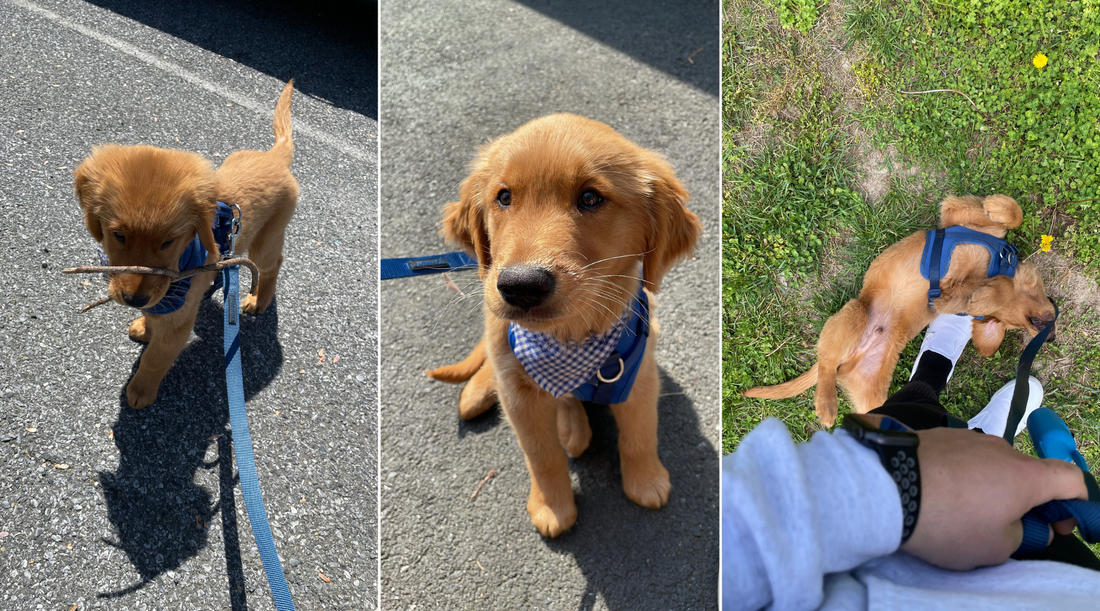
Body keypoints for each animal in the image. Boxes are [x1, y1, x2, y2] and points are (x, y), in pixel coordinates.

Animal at [74, 78, 299, 409]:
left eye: (169, 241)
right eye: (119, 235)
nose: (133, 300)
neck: (182, 262)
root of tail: (274, 157)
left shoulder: (179, 321)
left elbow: (156, 357)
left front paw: (141, 390)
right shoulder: (161, 296)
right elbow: (153, 313)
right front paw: (146, 326)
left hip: (266, 239)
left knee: (272, 265)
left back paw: (259, 300)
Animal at [424, 113, 699, 535]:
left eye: (590, 198)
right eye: (504, 197)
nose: (521, 285)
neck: (568, 338)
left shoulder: (639, 375)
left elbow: (639, 434)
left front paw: (646, 481)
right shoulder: (519, 398)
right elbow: (542, 456)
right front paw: (552, 507)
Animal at [748, 194, 1056, 424]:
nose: (1051, 336)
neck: (998, 262)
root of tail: (852, 359)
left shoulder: (947, 298)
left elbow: (986, 289)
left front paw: (985, 296)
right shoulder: (955, 213)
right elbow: (1015, 214)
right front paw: (996, 205)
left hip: (870, 392)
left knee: (839, 375)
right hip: (855, 313)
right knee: (826, 363)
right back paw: (827, 404)